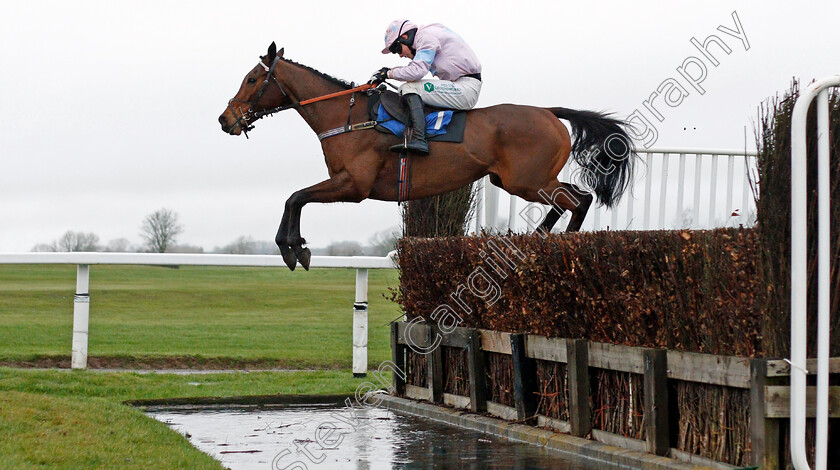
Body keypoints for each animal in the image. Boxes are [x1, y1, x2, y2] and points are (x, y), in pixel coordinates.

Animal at [217, 44, 636, 272]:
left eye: (252, 79)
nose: (226, 119)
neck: (347, 116)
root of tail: (549, 111)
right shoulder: (346, 182)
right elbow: (295, 198)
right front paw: (293, 246)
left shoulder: (354, 184)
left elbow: (295, 197)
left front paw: (293, 248)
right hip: (517, 180)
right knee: (571, 199)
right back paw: (541, 238)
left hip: (528, 181)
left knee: (579, 199)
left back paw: (557, 243)